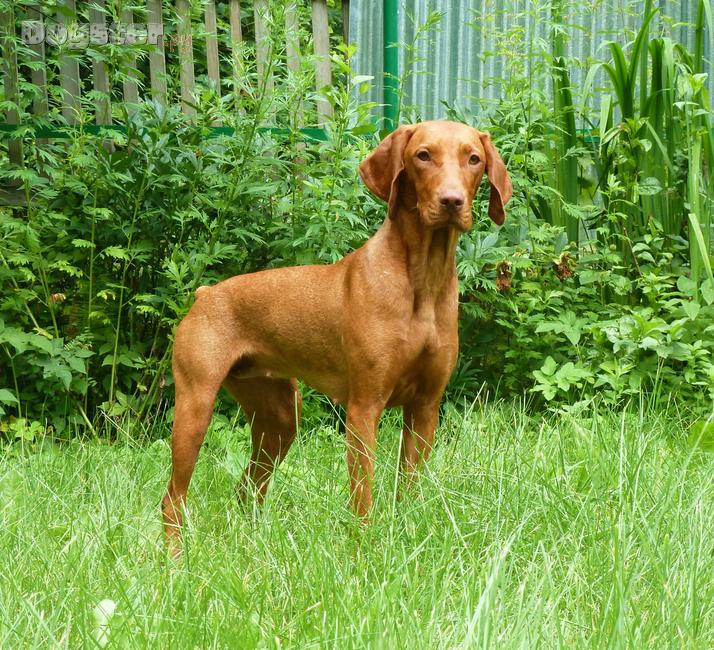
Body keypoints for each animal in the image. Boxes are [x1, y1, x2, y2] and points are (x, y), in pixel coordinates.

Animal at [162, 120, 512, 554]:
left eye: (474, 158)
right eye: (423, 155)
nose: (452, 201)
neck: (422, 283)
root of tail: (206, 293)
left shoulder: (426, 407)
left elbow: (410, 488)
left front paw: (407, 533)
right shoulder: (363, 409)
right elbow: (362, 495)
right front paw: (362, 548)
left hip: (280, 419)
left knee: (247, 490)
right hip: (196, 409)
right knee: (173, 499)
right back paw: (175, 558)